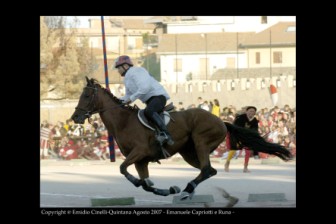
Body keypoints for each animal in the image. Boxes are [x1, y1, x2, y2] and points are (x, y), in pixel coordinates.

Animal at [71, 77, 292, 201]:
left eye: (86, 96)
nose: (75, 117)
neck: (124, 122)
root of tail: (222, 121)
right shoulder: (142, 160)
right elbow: (146, 184)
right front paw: (167, 189)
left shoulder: (139, 152)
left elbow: (123, 169)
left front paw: (162, 187)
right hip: (188, 152)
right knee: (209, 170)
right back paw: (189, 190)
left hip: (201, 141)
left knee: (206, 170)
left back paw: (187, 190)